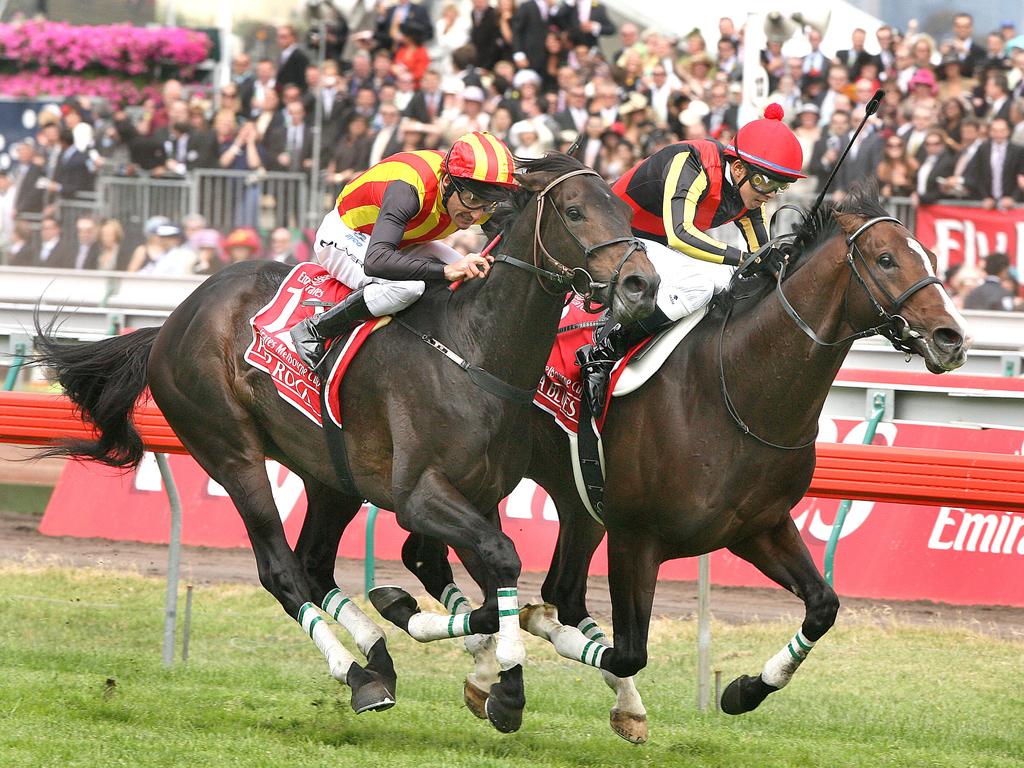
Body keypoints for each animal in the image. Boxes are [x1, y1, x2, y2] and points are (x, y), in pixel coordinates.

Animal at [34, 154, 655, 733]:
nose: (641, 284)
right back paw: (357, 673)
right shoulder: (419, 497)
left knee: (314, 562)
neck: (474, 352)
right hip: (231, 451)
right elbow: (500, 563)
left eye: (626, 213)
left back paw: (378, 658)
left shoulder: (480, 496)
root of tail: (169, 322)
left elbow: (490, 586)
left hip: (331, 475)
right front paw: (501, 677)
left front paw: (491, 669)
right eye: (574, 211)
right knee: (282, 571)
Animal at [350, 183, 966, 741]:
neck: (737, 389)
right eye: (886, 258)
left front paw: (744, 690)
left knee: (518, 578)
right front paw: (527, 647)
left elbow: (823, 605)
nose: (951, 338)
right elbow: (624, 650)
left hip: (564, 500)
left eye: (932, 258)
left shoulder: (758, 526)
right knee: (450, 562)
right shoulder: (635, 536)